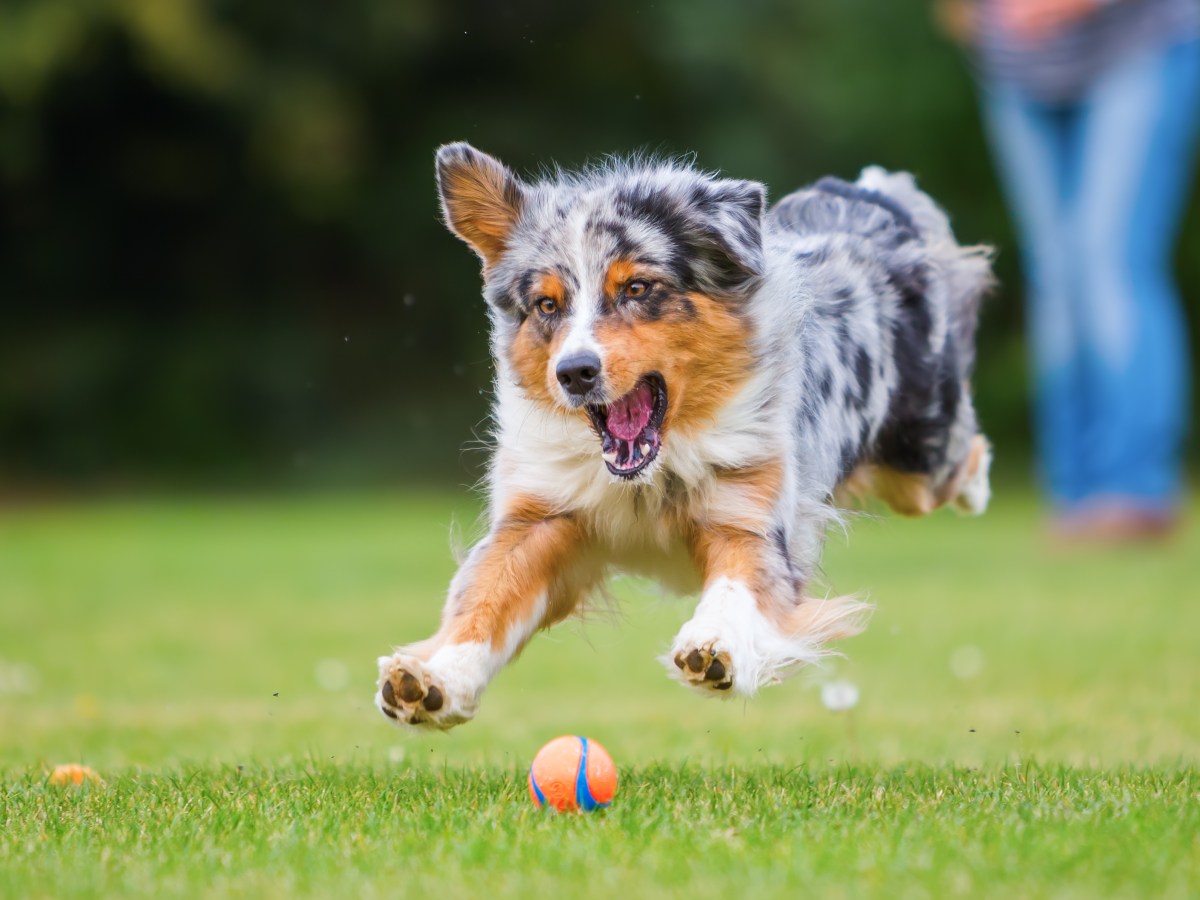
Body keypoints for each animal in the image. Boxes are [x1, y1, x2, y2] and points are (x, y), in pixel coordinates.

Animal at [374, 142, 993, 734]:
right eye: (547, 304)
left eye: (636, 287)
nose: (573, 373)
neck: (650, 475)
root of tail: (871, 195)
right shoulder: (539, 518)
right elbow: (484, 596)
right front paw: (433, 678)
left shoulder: (748, 513)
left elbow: (738, 587)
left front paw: (714, 646)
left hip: (921, 456)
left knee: (964, 454)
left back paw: (978, 490)